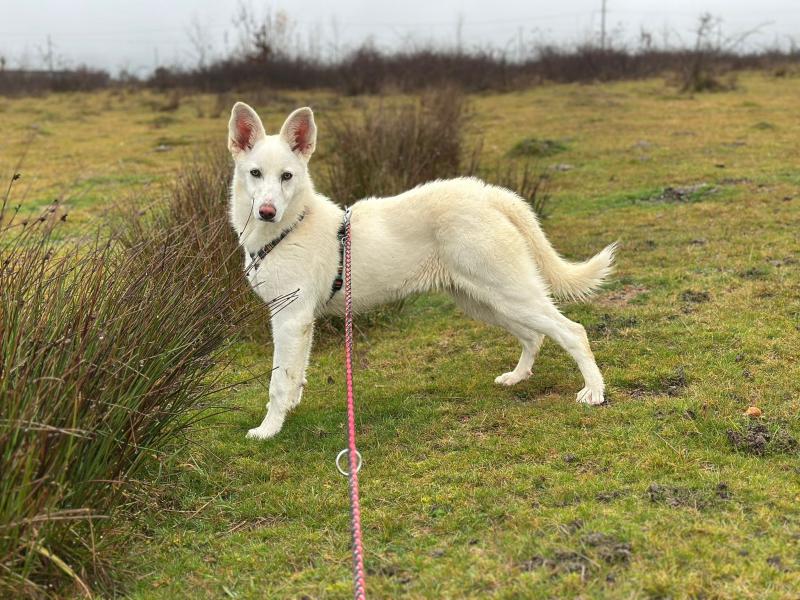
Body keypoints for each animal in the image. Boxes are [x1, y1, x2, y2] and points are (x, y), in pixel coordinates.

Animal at [227, 102, 616, 440]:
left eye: (287, 176)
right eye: (255, 173)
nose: (266, 212)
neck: (291, 226)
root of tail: (490, 195)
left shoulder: (290, 318)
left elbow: (277, 383)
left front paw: (268, 430)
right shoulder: (300, 321)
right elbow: (295, 374)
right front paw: (290, 409)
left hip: (510, 294)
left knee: (572, 331)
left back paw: (594, 391)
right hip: (484, 301)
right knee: (533, 336)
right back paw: (518, 377)